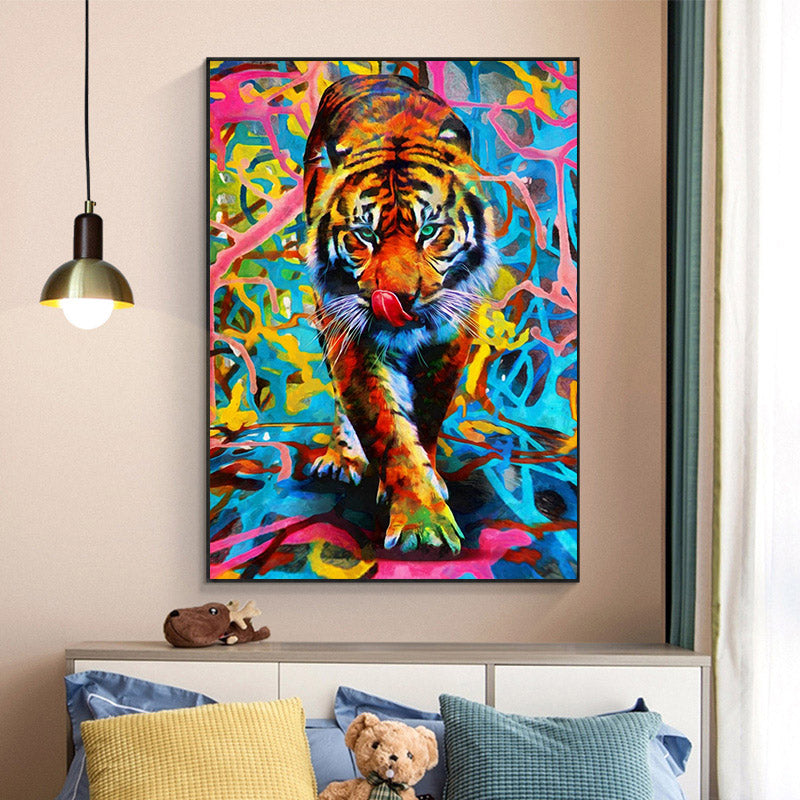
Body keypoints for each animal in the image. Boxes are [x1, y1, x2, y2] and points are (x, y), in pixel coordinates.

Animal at [303, 73, 497, 555]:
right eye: (364, 235)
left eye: (429, 231)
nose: (398, 298)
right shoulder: (350, 338)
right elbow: (389, 431)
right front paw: (422, 525)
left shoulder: (450, 341)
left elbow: (425, 420)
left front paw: (430, 488)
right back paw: (342, 458)